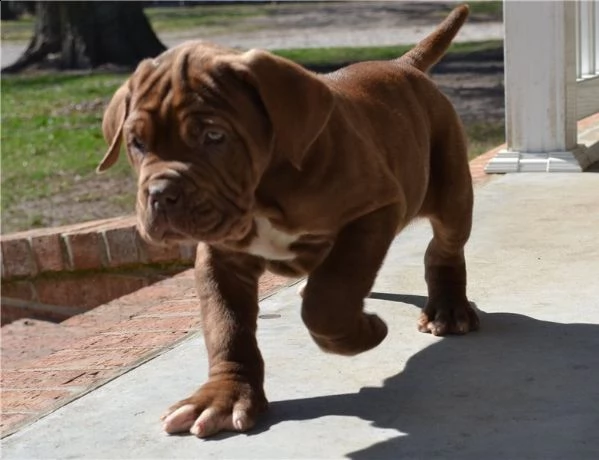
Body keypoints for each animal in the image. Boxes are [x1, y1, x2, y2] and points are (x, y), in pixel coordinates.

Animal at [101, 4, 480, 438]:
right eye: (137, 143)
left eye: (214, 136)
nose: (161, 194)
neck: (262, 193)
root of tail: (403, 64)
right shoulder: (221, 259)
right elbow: (226, 327)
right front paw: (224, 397)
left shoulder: (374, 210)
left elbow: (328, 298)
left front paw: (365, 331)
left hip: (451, 188)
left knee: (444, 248)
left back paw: (448, 310)